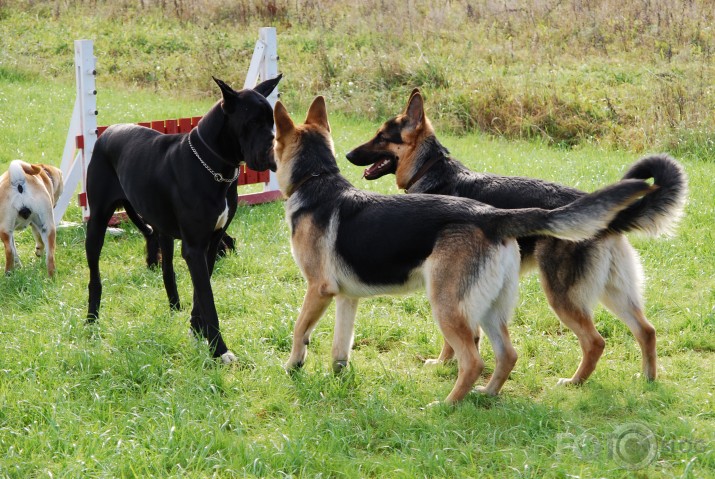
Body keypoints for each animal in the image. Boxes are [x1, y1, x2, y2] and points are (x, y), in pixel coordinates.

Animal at [85, 75, 282, 362]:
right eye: (254, 122)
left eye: (272, 121)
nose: (276, 153)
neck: (216, 168)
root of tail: (108, 132)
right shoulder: (195, 247)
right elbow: (208, 298)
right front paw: (219, 350)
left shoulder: (212, 242)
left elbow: (201, 293)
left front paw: (197, 330)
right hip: (97, 223)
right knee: (94, 276)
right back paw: (91, 320)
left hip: (161, 228)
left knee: (167, 268)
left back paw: (174, 306)